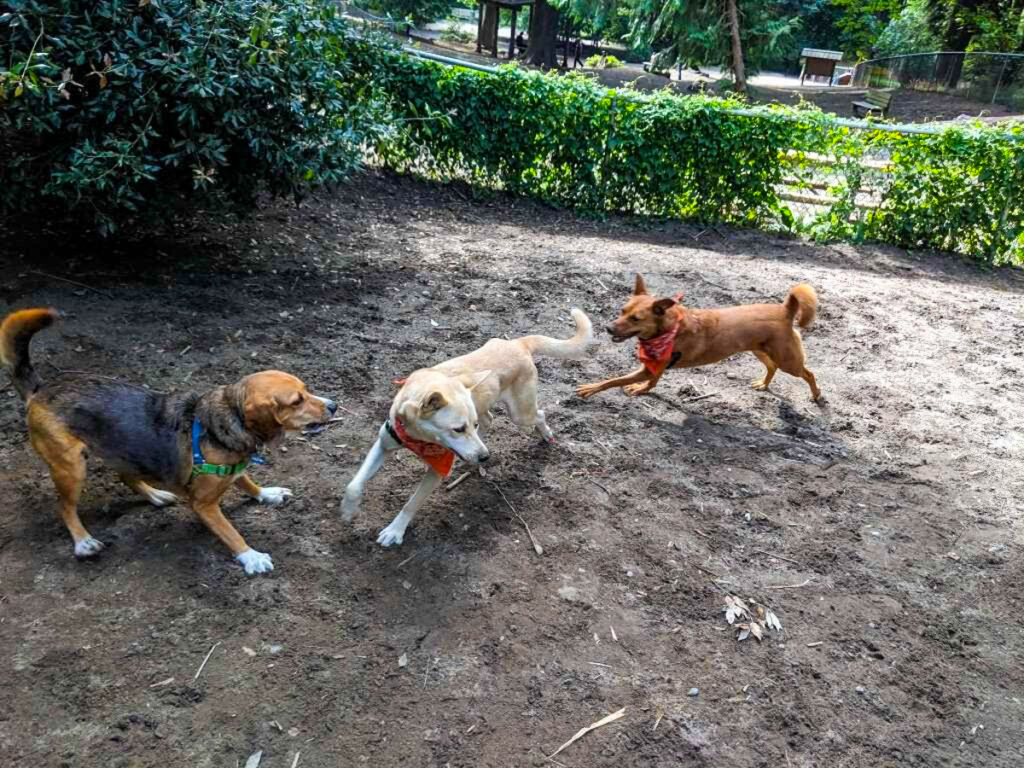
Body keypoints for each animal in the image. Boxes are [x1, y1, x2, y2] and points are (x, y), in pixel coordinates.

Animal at [342, 307, 593, 548]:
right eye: (458, 429)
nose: (485, 457)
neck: (418, 436)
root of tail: (516, 343)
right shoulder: (384, 443)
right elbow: (354, 485)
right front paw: (348, 510)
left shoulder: (437, 470)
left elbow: (411, 504)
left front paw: (394, 531)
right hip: (487, 407)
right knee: (490, 420)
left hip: (520, 414)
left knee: (538, 415)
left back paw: (545, 434)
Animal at [577, 278, 823, 403]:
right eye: (622, 310)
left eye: (635, 318)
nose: (608, 328)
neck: (668, 329)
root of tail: (786, 309)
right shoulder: (655, 368)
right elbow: (650, 382)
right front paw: (641, 389)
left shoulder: (652, 367)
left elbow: (613, 380)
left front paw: (590, 388)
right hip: (760, 350)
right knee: (772, 367)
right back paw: (763, 384)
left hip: (788, 361)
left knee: (809, 374)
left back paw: (817, 395)